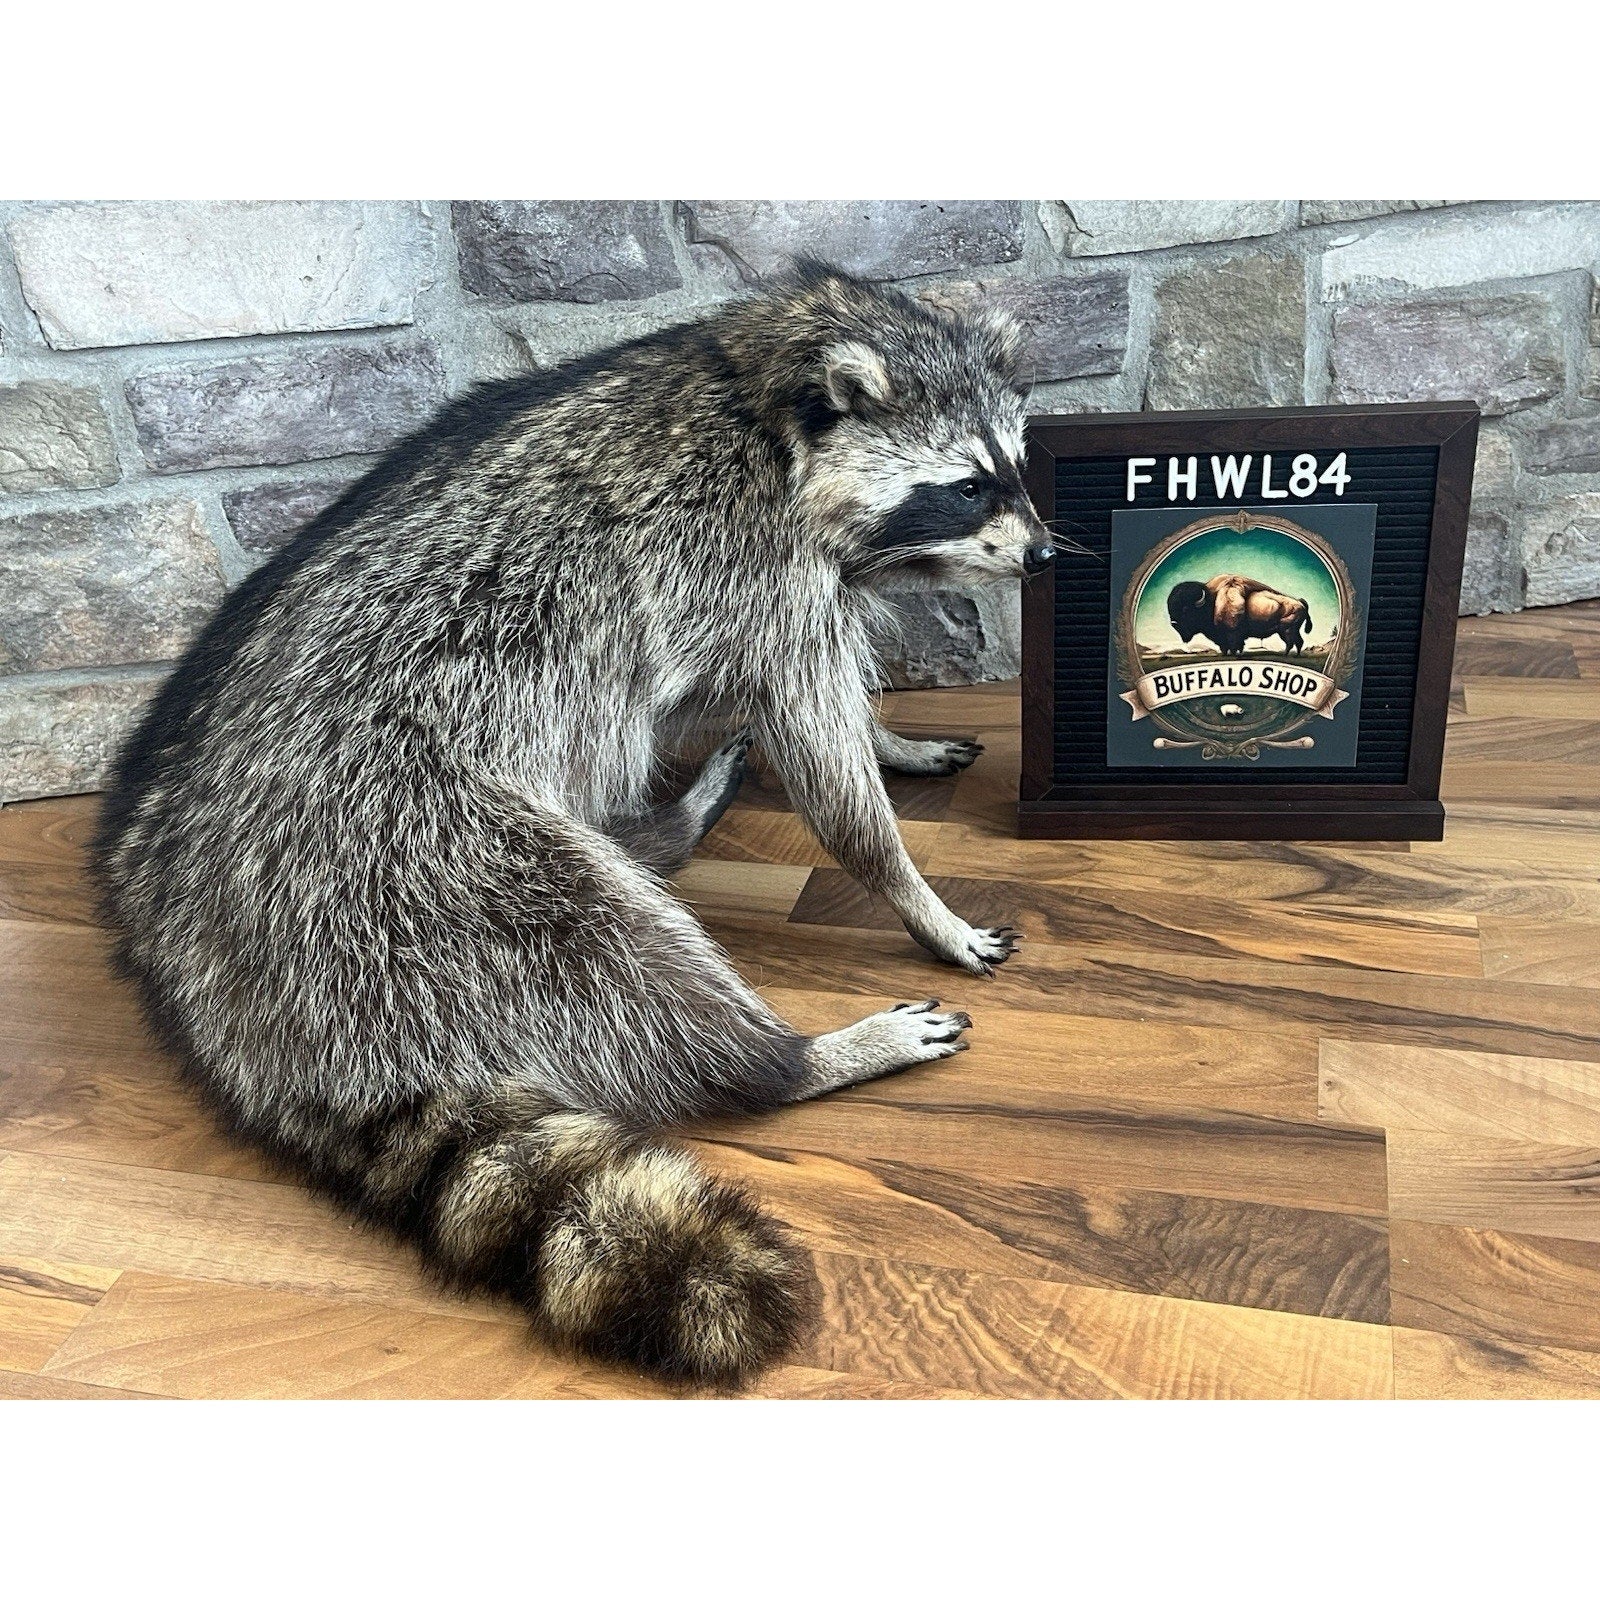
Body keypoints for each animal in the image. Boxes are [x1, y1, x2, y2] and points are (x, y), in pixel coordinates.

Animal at [91, 262, 1056, 1385]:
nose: (1043, 552)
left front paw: (891, 738)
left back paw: (668, 833)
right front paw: (914, 891)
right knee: (609, 946)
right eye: (967, 486)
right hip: (403, 854)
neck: (765, 387)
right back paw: (790, 1056)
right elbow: (818, 750)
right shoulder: (752, 564)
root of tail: (214, 991)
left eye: (1013, 464)